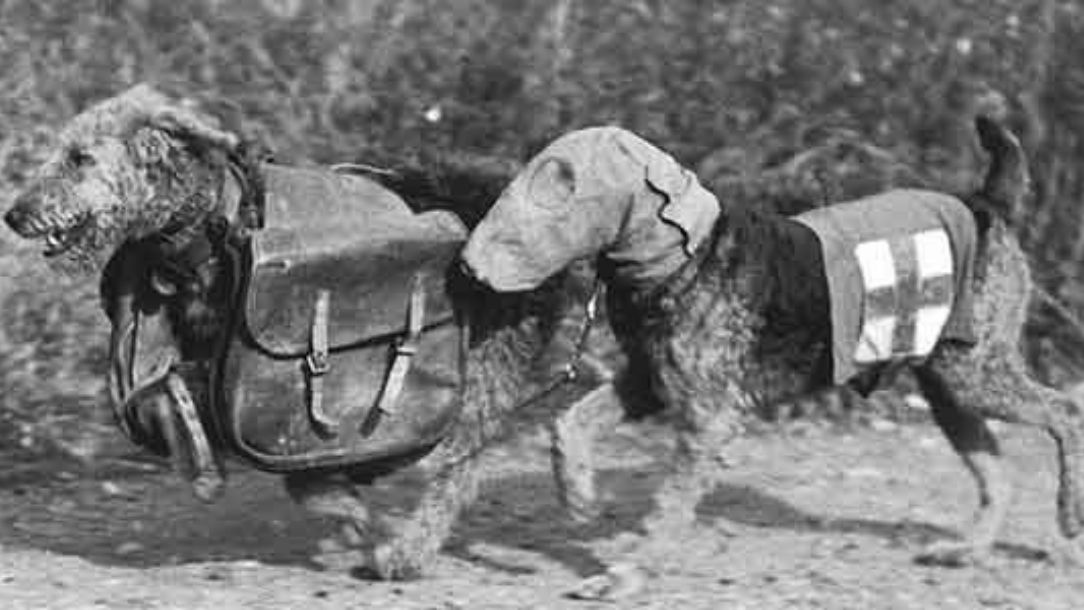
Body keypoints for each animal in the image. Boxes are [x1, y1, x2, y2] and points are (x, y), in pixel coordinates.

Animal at [2, 83, 620, 580]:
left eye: (80, 158)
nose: (14, 214)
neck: (212, 226)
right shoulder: (201, 375)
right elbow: (190, 418)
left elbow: (313, 479)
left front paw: (364, 520)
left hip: (483, 367)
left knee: (459, 469)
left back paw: (406, 552)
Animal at [463, 121, 1084, 598]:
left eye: (564, 183)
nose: (469, 266)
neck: (681, 259)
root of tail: (988, 204)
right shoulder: (648, 382)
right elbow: (569, 424)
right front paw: (580, 502)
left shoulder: (707, 416)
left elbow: (667, 507)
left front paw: (626, 574)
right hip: (946, 385)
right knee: (995, 470)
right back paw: (965, 550)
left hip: (975, 372)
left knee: (1065, 414)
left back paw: (1068, 517)